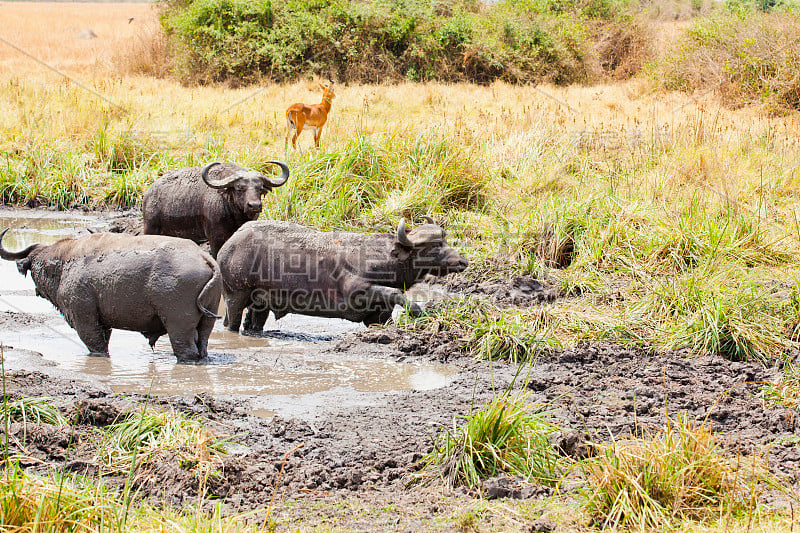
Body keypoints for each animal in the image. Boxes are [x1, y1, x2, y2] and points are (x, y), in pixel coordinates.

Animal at [0, 230, 222, 362]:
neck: (64, 263)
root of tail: (203, 257)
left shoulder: (86, 321)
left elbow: (96, 346)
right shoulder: (103, 324)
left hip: (178, 328)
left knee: (186, 350)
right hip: (206, 324)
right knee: (202, 345)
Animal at [142, 160, 290, 256]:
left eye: (260, 188)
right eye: (239, 188)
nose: (254, 205)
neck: (233, 214)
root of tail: (148, 195)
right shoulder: (215, 238)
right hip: (151, 228)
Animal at [216, 215, 472, 330]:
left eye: (445, 241)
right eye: (435, 246)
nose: (462, 261)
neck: (384, 259)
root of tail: (230, 245)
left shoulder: (377, 316)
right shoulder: (357, 291)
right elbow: (397, 294)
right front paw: (418, 311)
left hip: (260, 304)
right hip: (234, 295)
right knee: (231, 322)